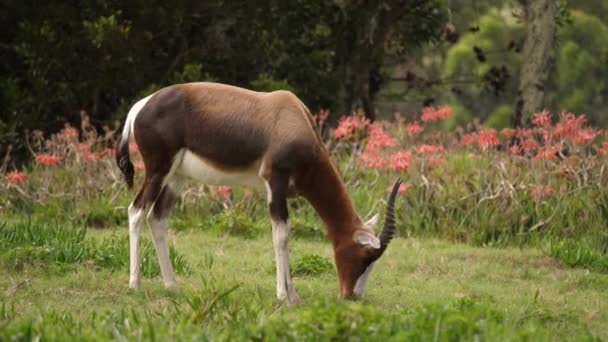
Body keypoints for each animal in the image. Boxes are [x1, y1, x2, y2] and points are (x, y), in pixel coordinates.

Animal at [114, 83, 402, 304]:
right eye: (365, 257)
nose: (351, 296)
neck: (292, 116)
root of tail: (141, 106)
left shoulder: (281, 192)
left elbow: (285, 236)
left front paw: (293, 295)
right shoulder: (275, 184)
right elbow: (281, 236)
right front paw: (284, 296)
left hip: (176, 178)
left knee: (157, 218)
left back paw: (172, 285)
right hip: (158, 171)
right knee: (136, 211)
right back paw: (134, 284)